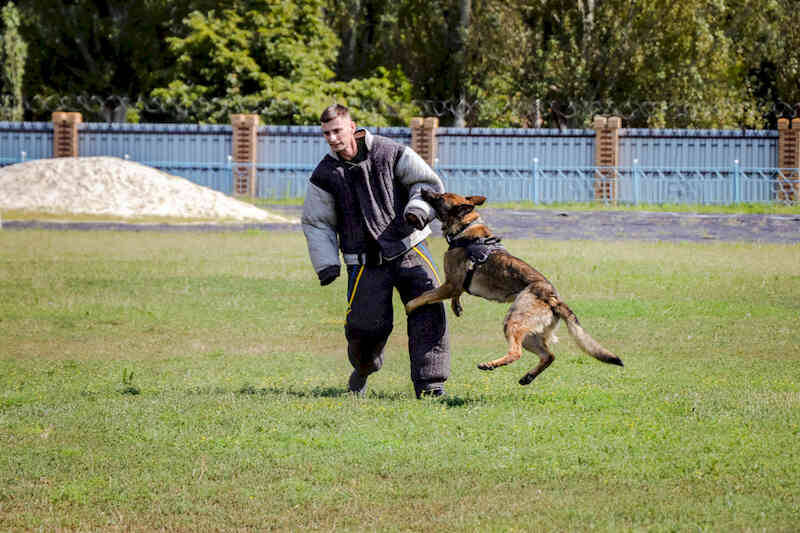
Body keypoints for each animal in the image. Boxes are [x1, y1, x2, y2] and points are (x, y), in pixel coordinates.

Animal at [404, 189, 620, 384]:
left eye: (440, 197)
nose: (422, 189)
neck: (465, 228)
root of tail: (552, 297)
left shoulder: (450, 285)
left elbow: (424, 296)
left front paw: (410, 306)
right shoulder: (455, 286)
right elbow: (453, 295)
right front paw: (456, 306)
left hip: (512, 322)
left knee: (516, 353)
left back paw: (491, 364)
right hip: (530, 335)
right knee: (549, 355)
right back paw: (528, 377)